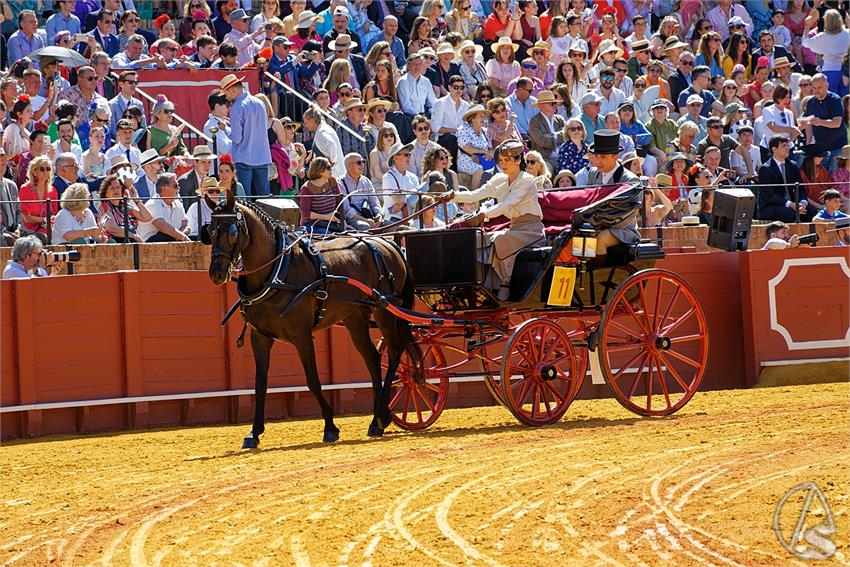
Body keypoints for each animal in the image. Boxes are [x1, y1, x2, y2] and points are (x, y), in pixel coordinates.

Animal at [204, 193, 420, 450]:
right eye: (209, 231)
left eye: (233, 232)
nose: (216, 274)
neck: (277, 271)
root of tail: (388, 243)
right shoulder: (260, 337)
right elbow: (260, 384)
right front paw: (254, 432)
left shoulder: (302, 335)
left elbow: (313, 380)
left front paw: (330, 427)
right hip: (355, 317)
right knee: (373, 359)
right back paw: (377, 419)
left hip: (384, 310)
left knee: (395, 351)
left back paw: (383, 414)